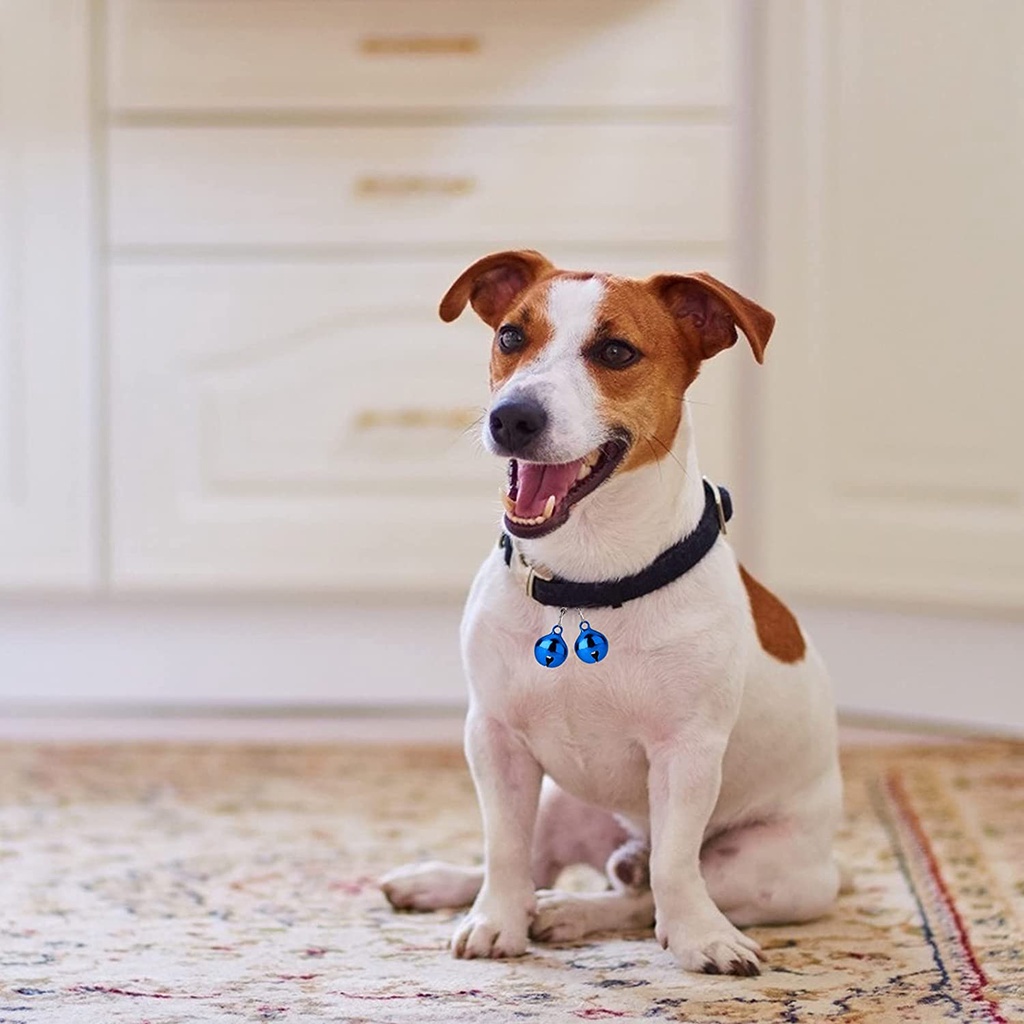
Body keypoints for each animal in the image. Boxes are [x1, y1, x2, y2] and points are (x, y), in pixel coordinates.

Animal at [380, 249, 843, 974]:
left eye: (616, 351)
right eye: (511, 335)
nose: (512, 417)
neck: (585, 583)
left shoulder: (686, 753)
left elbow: (676, 868)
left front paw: (702, 941)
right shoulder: (494, 737)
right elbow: (503, 850)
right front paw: (493, 922)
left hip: (767, 867)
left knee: (644, 891)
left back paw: (576, 912)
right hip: (557, 798)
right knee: (540, 864)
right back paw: (449, 886)